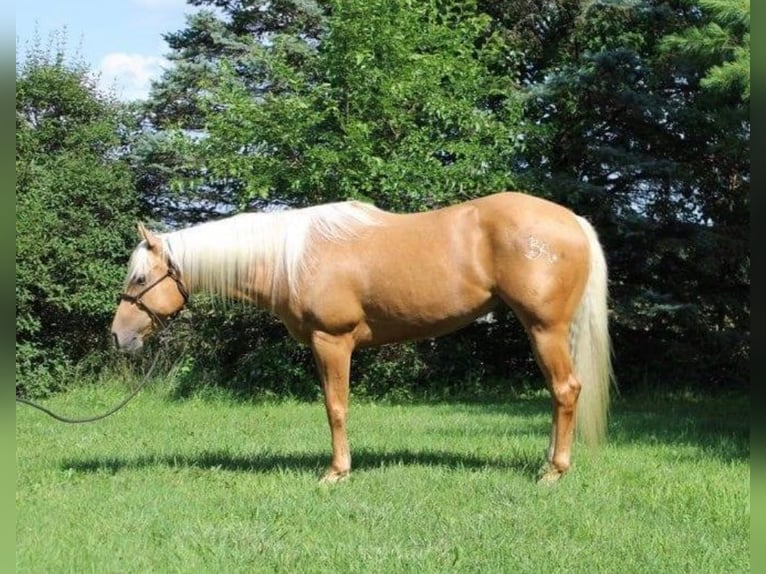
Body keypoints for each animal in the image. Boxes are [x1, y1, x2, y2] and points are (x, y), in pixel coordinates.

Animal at [111, 191, 616, 484]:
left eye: (140, 279)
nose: (117, 336)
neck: (291, 257)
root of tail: (572, 221)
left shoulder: (332, 341)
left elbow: (336, 408)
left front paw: (336, 473)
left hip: (545, 329)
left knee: (565, 390)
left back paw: (554, 472)